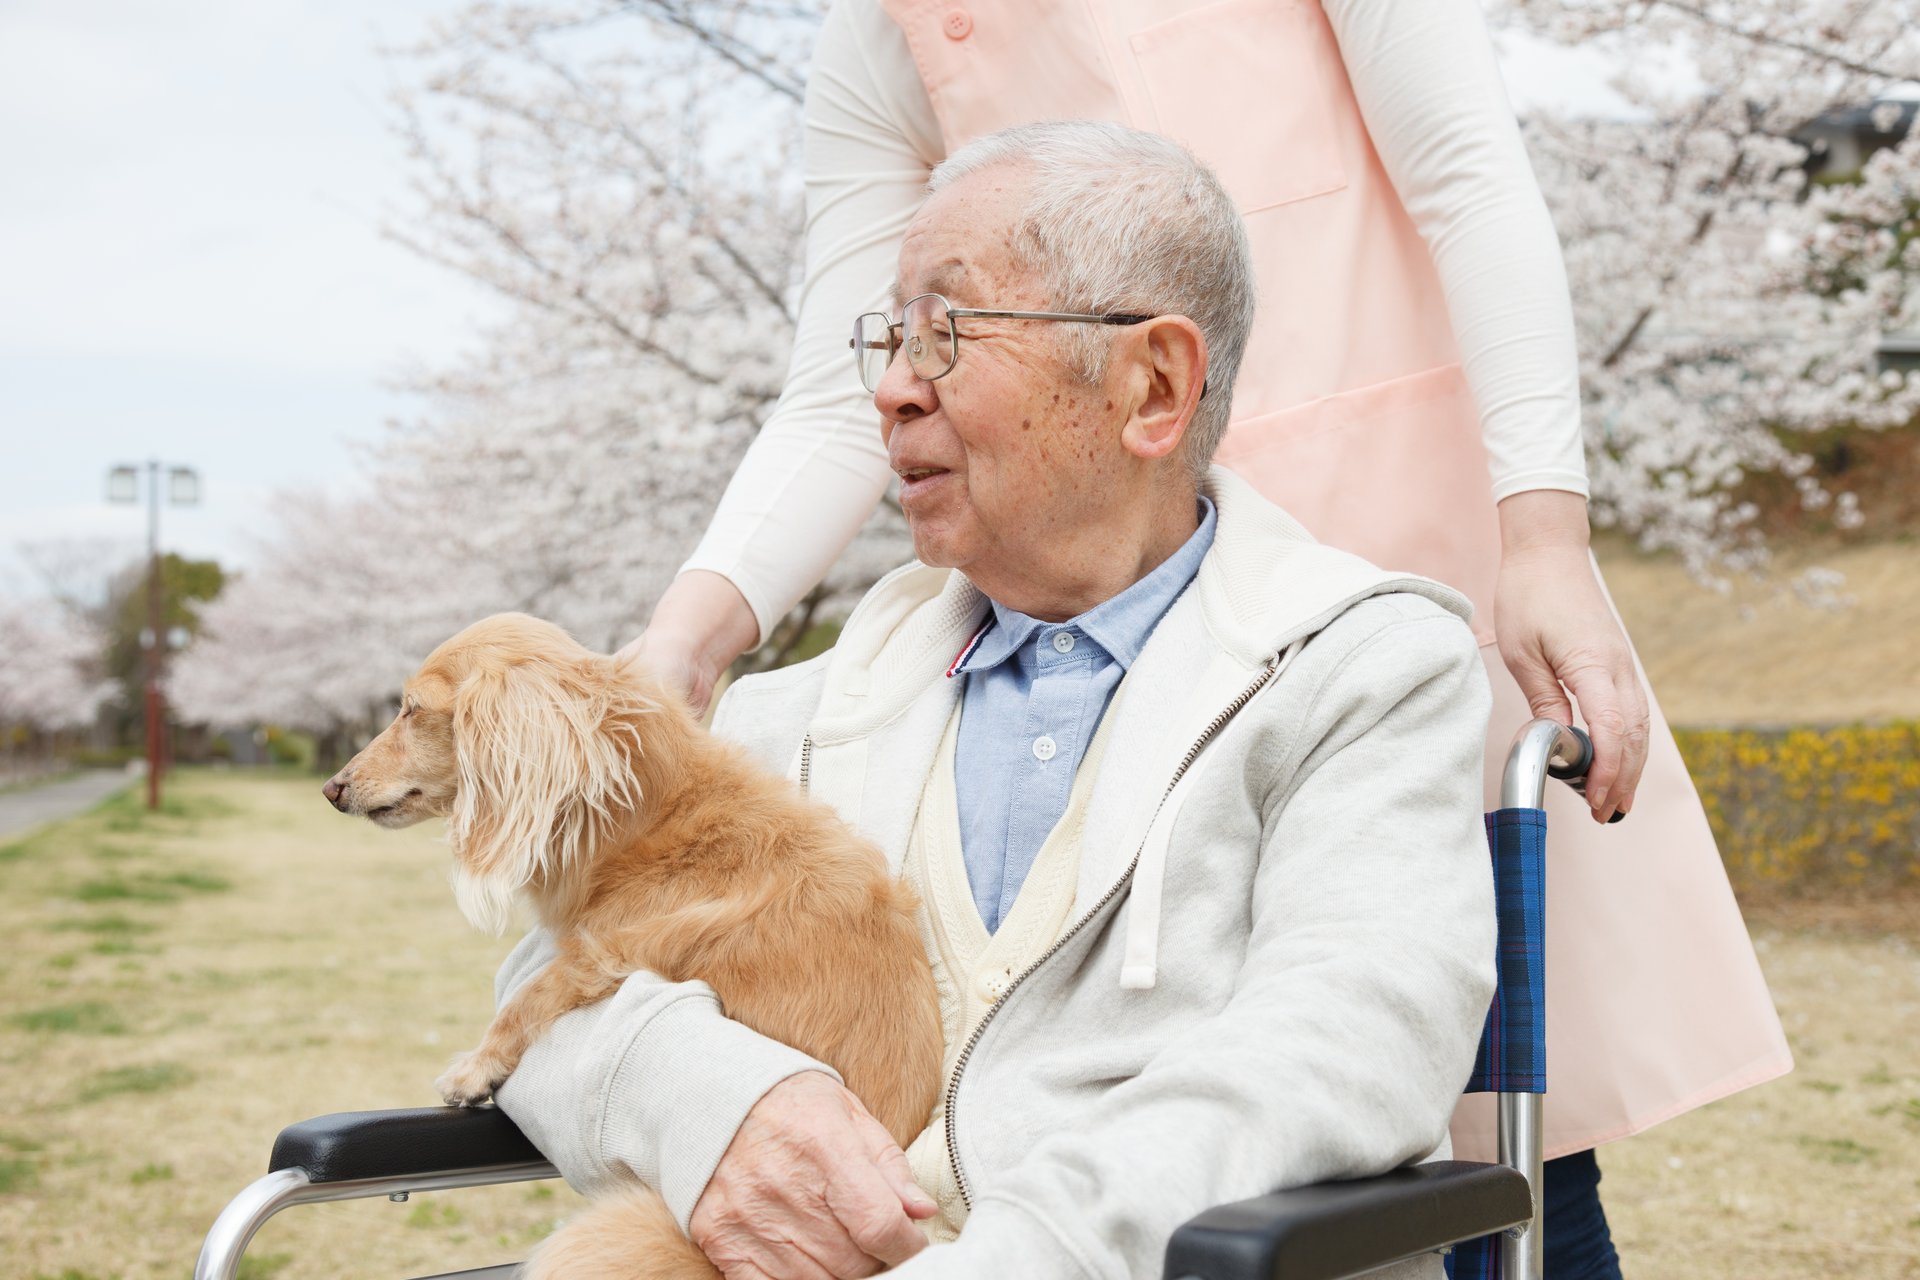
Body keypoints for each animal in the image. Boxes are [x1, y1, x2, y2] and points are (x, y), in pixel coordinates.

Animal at [326, 614, 940, 1274]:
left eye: (412, 710)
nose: (332, 788)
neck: (648, 819)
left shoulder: (609, 953)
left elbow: (531, 995)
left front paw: (474, 1069)